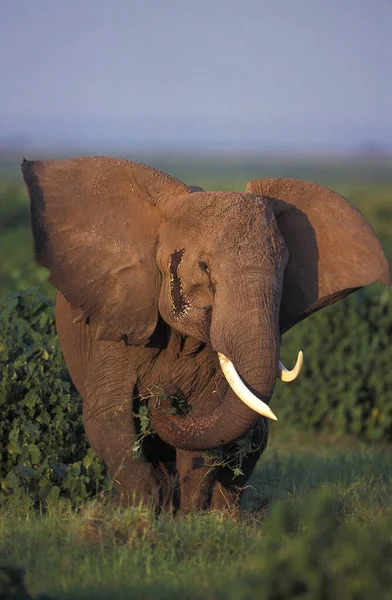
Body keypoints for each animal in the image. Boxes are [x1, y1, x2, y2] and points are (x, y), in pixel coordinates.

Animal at [22, 157, 388, 512]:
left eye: (284, 270)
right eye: (205, 267)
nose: (163, 395)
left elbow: (205, 424)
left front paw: (189, 518)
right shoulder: (118, 319)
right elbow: (108, 417)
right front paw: (140, 514)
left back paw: (225, 518)